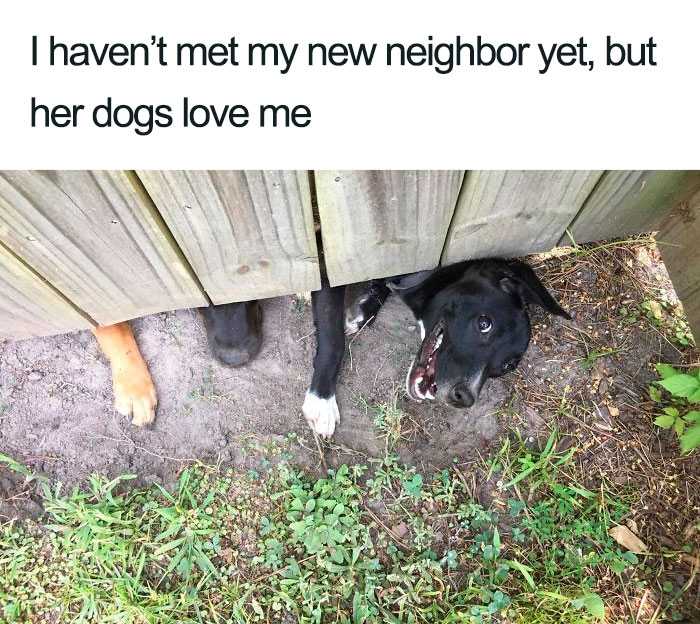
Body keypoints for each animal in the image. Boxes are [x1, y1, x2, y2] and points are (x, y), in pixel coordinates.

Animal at [300, 260, 568, 436]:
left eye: (507, 367)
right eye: (484, 324)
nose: (464, 398)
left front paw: (366, 308)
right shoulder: (327, 271)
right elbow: (334, 341)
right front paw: (321, 400)